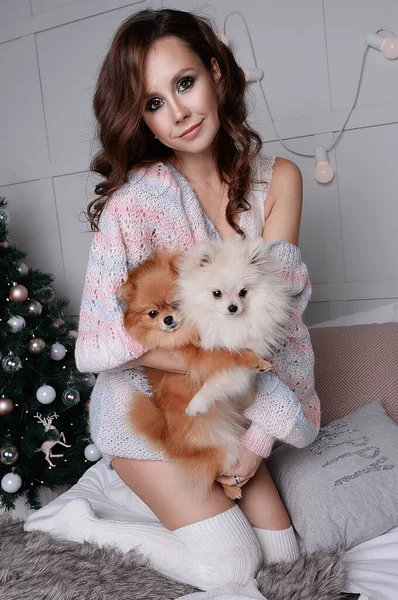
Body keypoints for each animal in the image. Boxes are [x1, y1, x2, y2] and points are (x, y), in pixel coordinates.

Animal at [176, 237, 292, 414]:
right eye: (217, 293)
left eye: (243, 292)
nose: (233, 307)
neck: (230, 323)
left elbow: (219, 379)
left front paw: (197, 404)